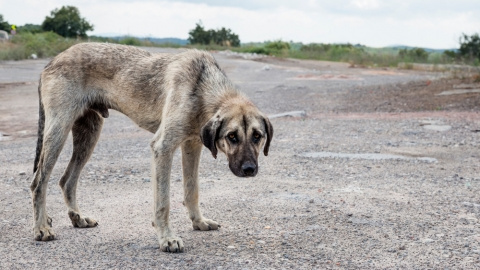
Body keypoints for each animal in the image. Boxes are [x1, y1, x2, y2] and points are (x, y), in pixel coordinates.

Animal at [31, 41, 274, 251]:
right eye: (232, 136)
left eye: (257, 136)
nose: (249, 170)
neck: (203, 87)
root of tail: (52, 61)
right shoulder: (163, 148)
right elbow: (163, 201)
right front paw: (167, 238)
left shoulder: (192, 145)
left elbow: (191, 190)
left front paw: (198, 221)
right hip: (58, 132)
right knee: (38, 182)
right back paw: (41, 227)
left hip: (88, 135)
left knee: (67, 180)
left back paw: (77, 217)